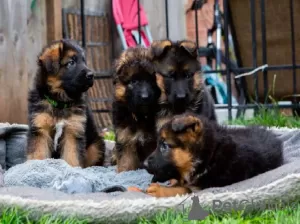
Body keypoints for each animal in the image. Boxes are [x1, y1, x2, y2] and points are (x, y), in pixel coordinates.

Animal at [26, 39, 105, 168]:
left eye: (84, 61)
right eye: (71, 62)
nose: (91, 75)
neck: (60, 101)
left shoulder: (73, 130)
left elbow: (72, 156)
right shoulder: (40, 128)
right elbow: (38, 153)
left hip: (96, 146)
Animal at [143, 113, 284, 197]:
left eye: (164, 146)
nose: (143, 164)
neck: (209, 155)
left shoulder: (207, 185)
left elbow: (185, 189)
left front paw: (159, 189)